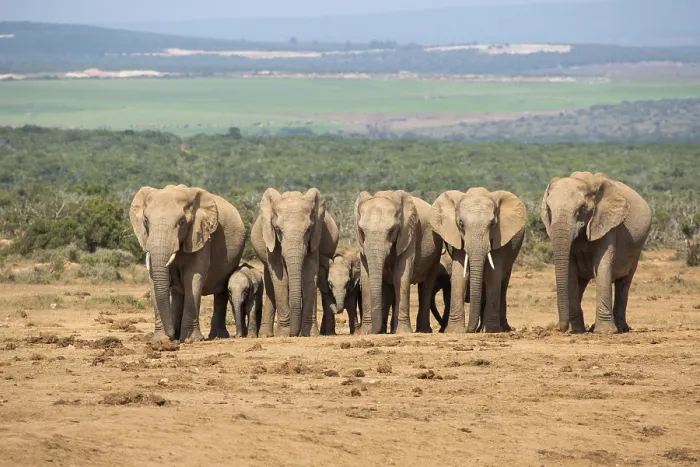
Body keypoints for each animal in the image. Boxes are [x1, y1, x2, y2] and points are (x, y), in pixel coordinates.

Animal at [129, 184, 246, 342]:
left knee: (221, 292)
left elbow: (194, 277)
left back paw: (217, 336)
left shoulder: (202, 236)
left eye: (181, 222)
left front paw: (192, 339)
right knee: (178, 293)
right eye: (146, 220)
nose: (171, 335)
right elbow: (154, 280)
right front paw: (160, 340)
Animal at [251, 188, 339, 337]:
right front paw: (283, 334)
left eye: (308, 229)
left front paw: (310, 334)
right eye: (278, 230)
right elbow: (280, 277)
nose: (294, 333)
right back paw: (265, 335)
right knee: (270, 283)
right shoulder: (271, 239)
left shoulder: (315, 237)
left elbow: (309, 275)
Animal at [354, 190, 443, 334]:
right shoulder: (361, 244)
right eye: (362, 231)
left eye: (391, 230)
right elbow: (366, 278)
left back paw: (423, 330)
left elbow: (401, 276)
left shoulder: (410, 234)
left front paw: (403, 332)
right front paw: (365, 332)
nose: (373, 331)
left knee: (426, 287)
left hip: (436, 253)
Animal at [431, 188, 526, 333]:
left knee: (503, 284)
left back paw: (502, 329)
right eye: (461, 224)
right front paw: (454, 331)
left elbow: (493, 274)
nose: (468, 330)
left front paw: (491, 330)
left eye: (492, 224)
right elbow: (459, 273)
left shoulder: (499, 237)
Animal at [541, 172, 651, 334]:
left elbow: (603, 265)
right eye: (548, 209)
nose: (561, 328)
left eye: (581, 209)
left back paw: (620, 328)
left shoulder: (606, 222)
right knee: (580, 283)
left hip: (636, 250)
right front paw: (576, 331)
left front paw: (605, 331)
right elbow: (570, 271)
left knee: (624, 283)